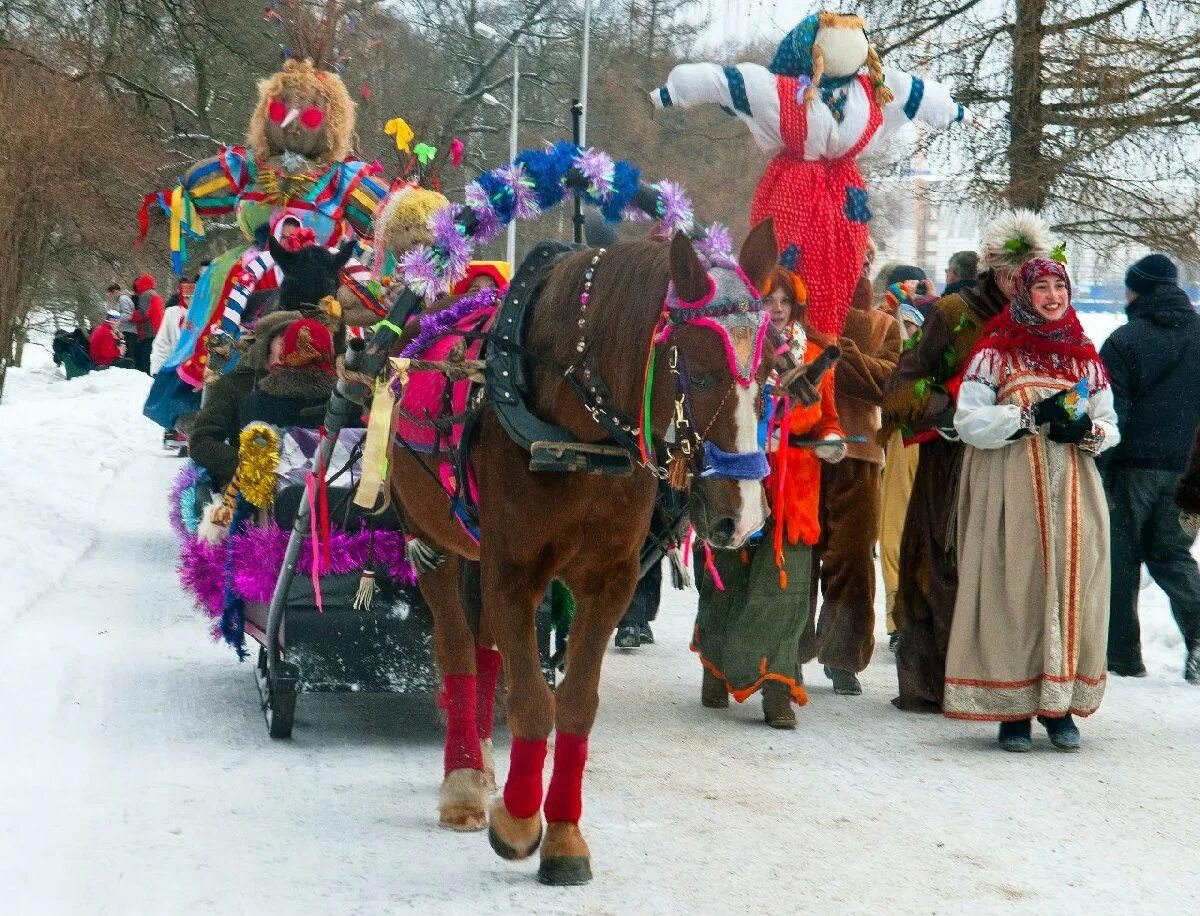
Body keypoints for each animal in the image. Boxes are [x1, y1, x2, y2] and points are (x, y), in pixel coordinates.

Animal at [386, 220, 777, 883]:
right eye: (698, 374)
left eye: (774, 371)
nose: (743, 516)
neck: (581, 439)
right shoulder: (513, 570)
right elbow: (531, 702)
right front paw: (520, 822)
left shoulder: (608, 581)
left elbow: (574, 705)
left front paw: (564, 836)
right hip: (432, 541)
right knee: (458, 649)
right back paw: (463, 780)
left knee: (486, 649)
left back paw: (485, 766)